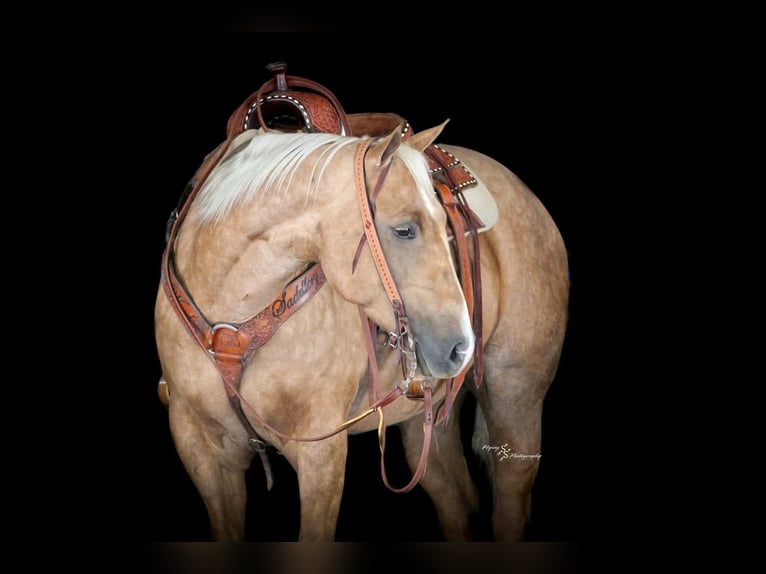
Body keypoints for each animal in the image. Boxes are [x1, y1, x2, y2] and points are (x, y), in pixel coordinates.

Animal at [154, 72, 569, 541]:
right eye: (404, 229)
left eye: (445, 225)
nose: (460, 346)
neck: (231, 314)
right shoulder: (202, 450)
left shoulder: (321, 452)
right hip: (426, 423)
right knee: (454, 497)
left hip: (516, 397)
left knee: (509, 500)